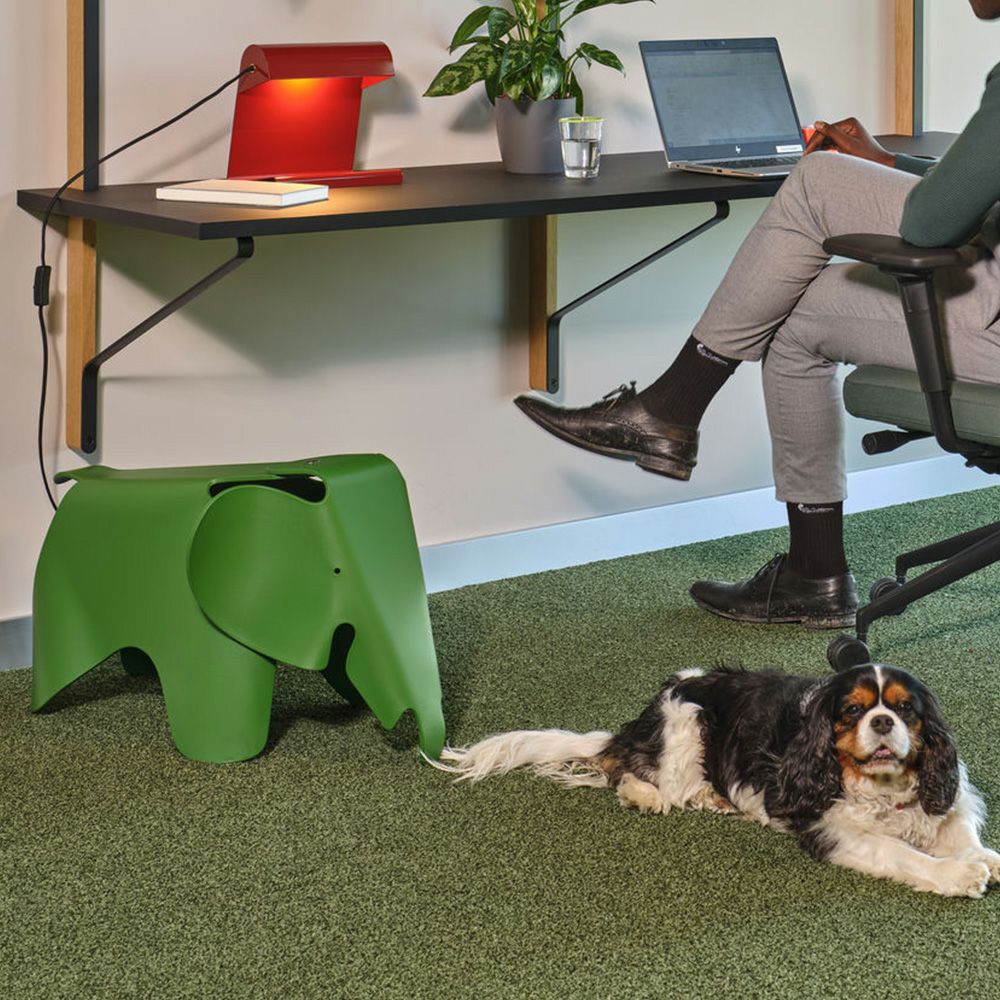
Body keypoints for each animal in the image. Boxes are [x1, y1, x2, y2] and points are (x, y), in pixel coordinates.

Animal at [31, 454, 445, 762]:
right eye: (338, 569)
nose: (419, 743)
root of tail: (84, 476)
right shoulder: (205, 619)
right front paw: (226, 755)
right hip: (57, 583)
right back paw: (40, 708)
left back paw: (139, 670)